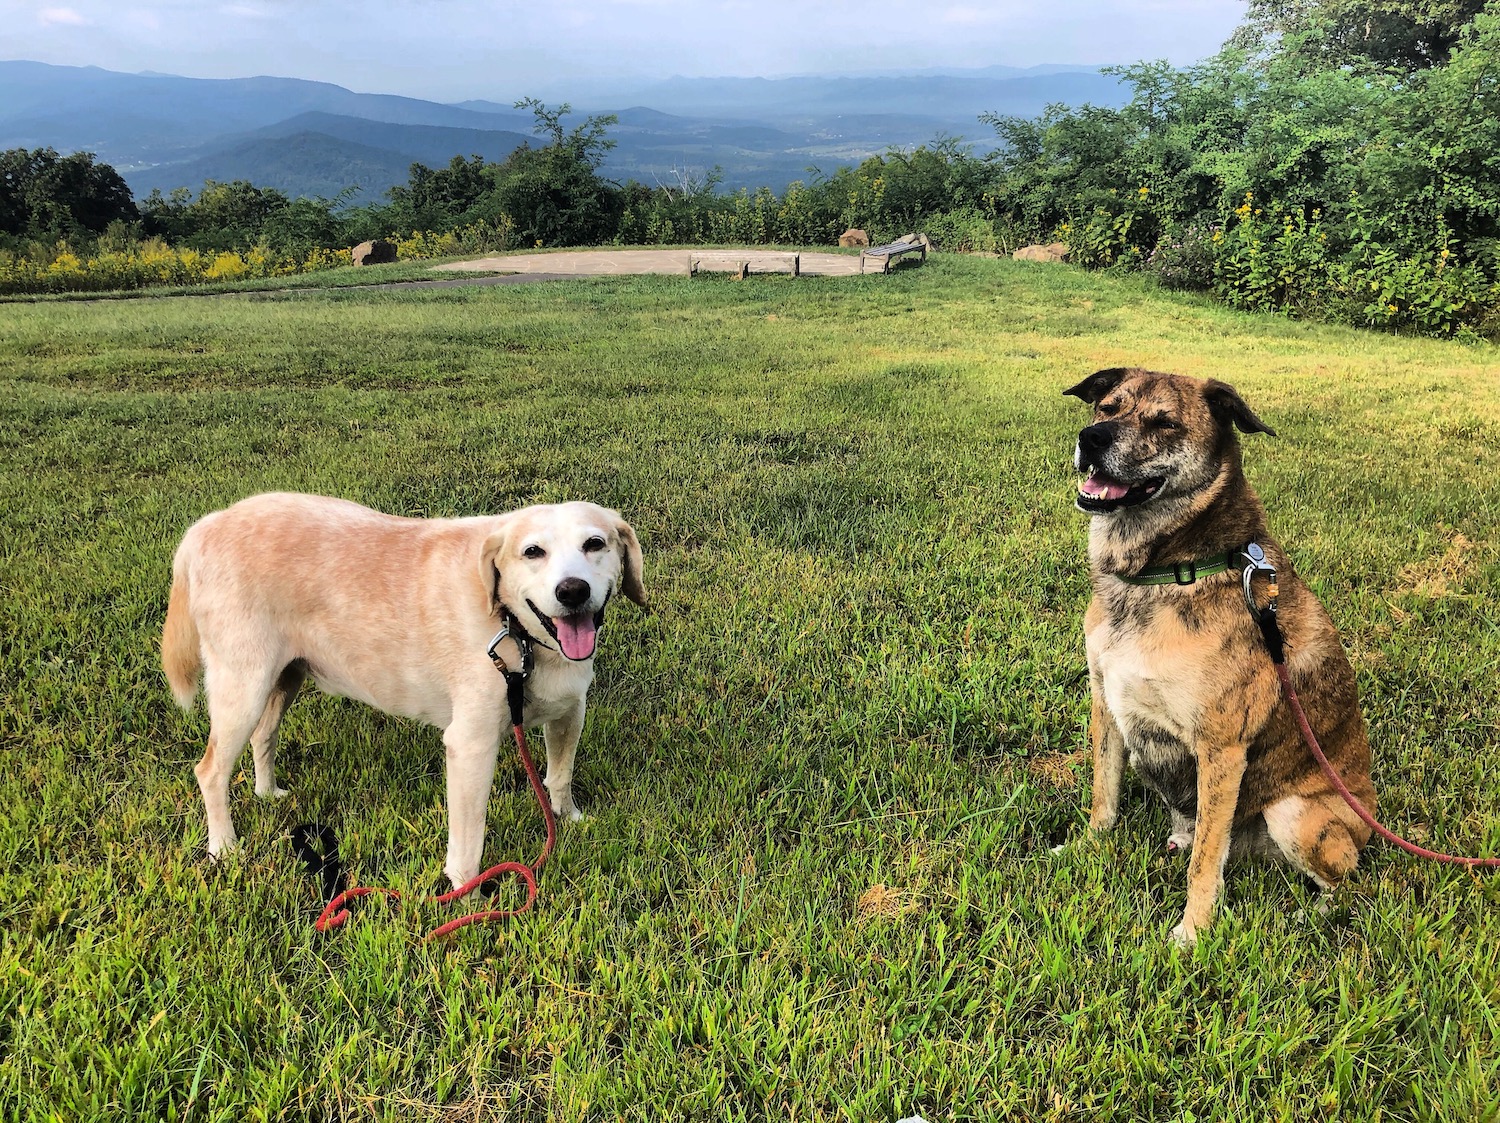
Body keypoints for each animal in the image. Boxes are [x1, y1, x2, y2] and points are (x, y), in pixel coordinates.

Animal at [162, 494, 645, 887]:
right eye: (533, 552)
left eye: (595, 544)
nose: (572, 591)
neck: (518, 631)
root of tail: (206, 526)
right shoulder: (470, 745)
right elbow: (469, 839)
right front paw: (467, 894)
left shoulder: (569, 712)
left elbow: (559, 777)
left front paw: (569, 818)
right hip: (242, 689)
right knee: (210, 771)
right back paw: (224, 848)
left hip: (283, 679)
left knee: (264, 735)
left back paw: (267, 795)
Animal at [1068, 370, 1374, 947]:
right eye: (1105, 407)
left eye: (1165, 422)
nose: (1090, 438)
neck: (1165, 569)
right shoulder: (1106, 705)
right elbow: (1104, 796)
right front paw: (1085, 847)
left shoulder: (1222, 748)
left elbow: (1207, 862)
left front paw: (1192, 933)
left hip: (1294, 812)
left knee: (1350, 887)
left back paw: (1305, 919)